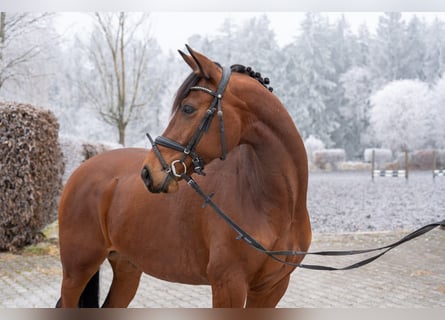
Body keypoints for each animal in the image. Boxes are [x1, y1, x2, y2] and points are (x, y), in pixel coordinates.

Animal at [57, 45, 310, 308]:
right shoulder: (229, 285)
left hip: (127, 266)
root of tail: (81, 169)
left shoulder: (272, 288)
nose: (148, 173)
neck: (272, 204)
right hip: (77, 270)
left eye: (188, 108)